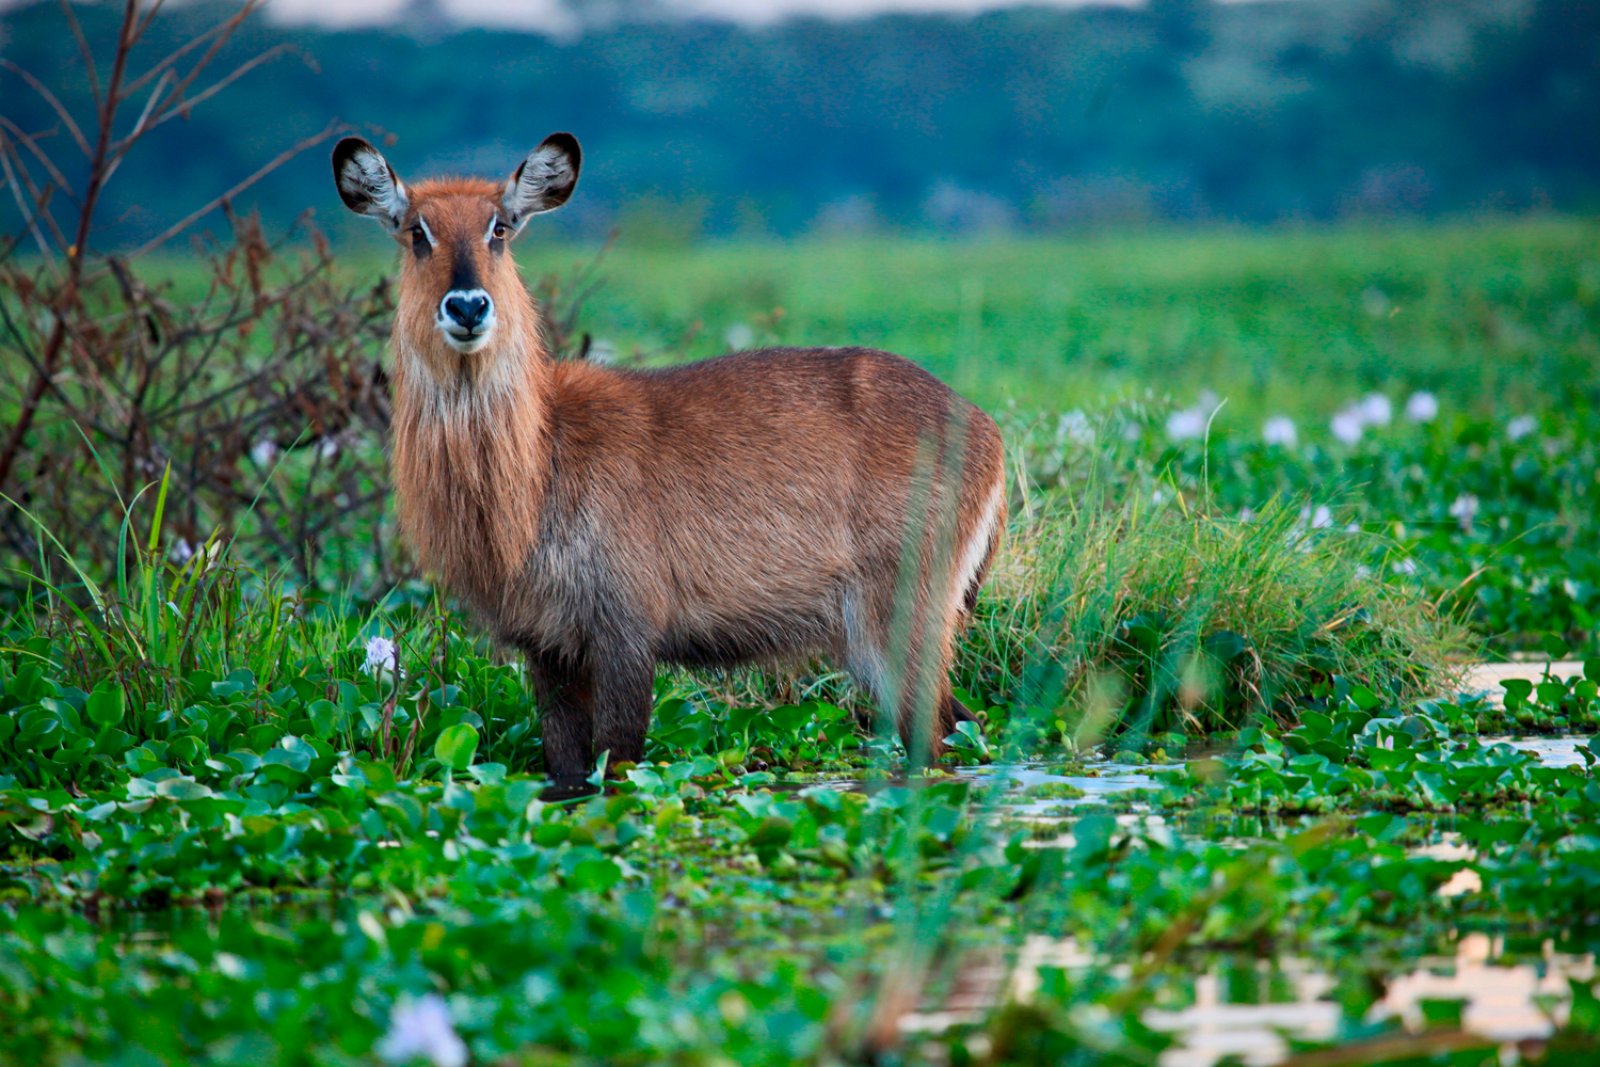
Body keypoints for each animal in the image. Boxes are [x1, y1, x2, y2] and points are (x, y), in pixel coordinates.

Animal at [331, 133, 1004, 790]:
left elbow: (619, 766)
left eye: (500, 227)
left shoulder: (625, 634)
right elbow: (568, 772)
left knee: (938, 739)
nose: (468, 307)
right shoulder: (546, 647)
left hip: (894, 622)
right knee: (967, 727)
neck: (540, 463)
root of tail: (986, 429)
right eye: (416, 231)